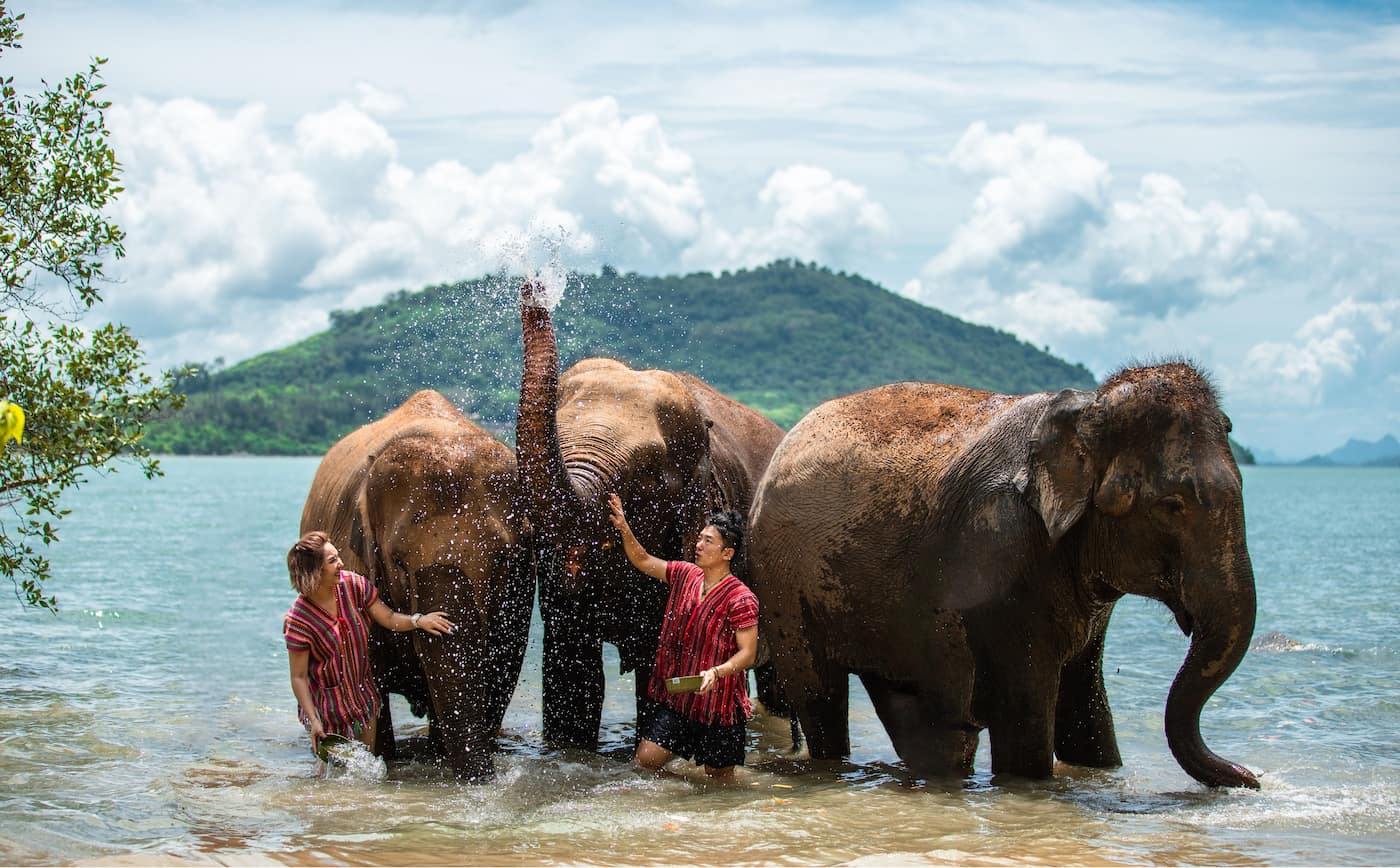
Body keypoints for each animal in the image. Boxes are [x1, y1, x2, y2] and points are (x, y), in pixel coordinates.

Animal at [750, 358, 1265, 784]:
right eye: (1172, 505)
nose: (1253, 777)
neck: (1085, 411)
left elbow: (1089, 715)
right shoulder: (1000, 554)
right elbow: (1025, 719)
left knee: (928, 722)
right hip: (786, 587)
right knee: (820, 698)